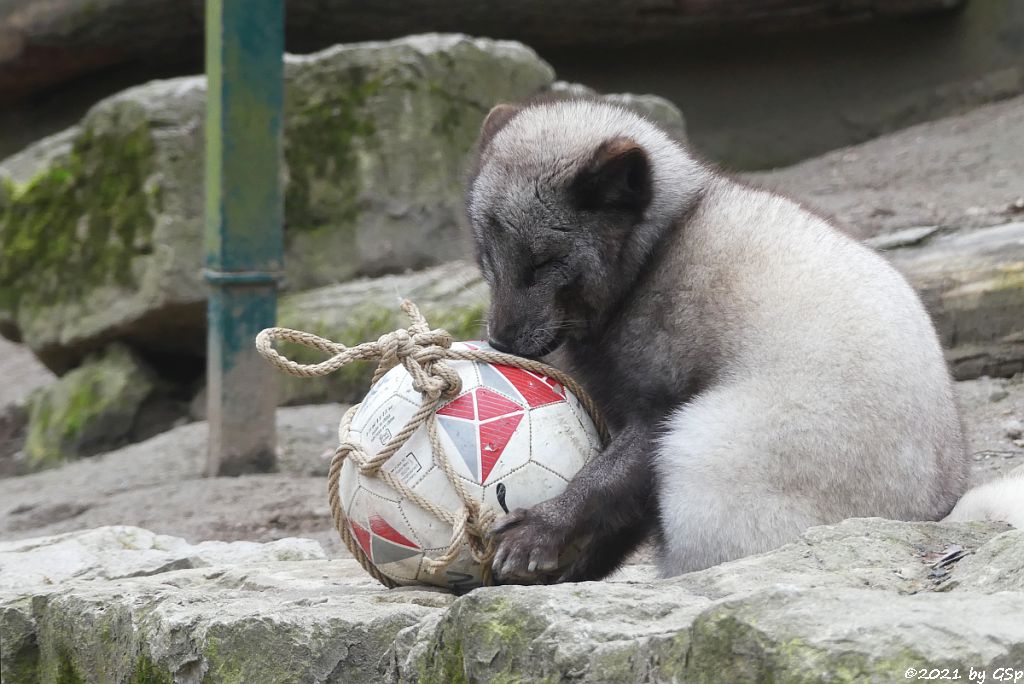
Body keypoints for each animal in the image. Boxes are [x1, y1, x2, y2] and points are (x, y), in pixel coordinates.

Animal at [468, 98, 970, 581]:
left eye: (543, 263)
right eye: (487, 257)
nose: (501, 343)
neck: (655, 252)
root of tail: (934, 512)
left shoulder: (660, 411)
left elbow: (605, 480)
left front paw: (541, 528)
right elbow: (619, 516)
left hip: (698, 444)